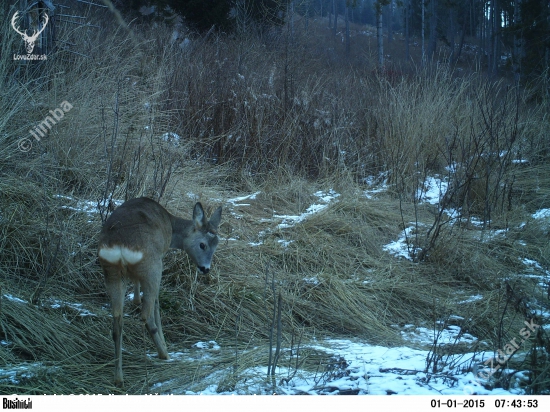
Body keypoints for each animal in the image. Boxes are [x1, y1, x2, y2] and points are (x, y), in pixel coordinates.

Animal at [98, 197, 223, 386]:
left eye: (216, 246)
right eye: (202, 245)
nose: (205, 269)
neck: (171, 226)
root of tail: (119, 244)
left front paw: (135, 298)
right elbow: (156, 302)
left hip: (111, 271)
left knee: (117, 321)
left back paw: (118, 378)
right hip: (153, 266)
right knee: (147, 313)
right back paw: (163, 354)